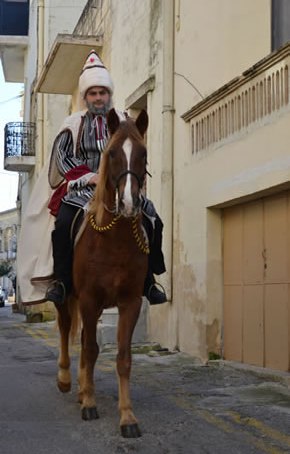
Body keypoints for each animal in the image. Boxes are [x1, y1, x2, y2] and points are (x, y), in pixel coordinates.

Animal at [55, 108, 150, 438]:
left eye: (143, 153)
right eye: (112, 153)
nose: (130, 203)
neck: (114, 240)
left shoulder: (130, 302)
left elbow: (122, 357)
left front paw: (128, 417)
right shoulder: (88, 299)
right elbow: (91, 349)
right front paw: (90, 404)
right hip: (67, 297)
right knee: (66, 332)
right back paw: (68, 382)